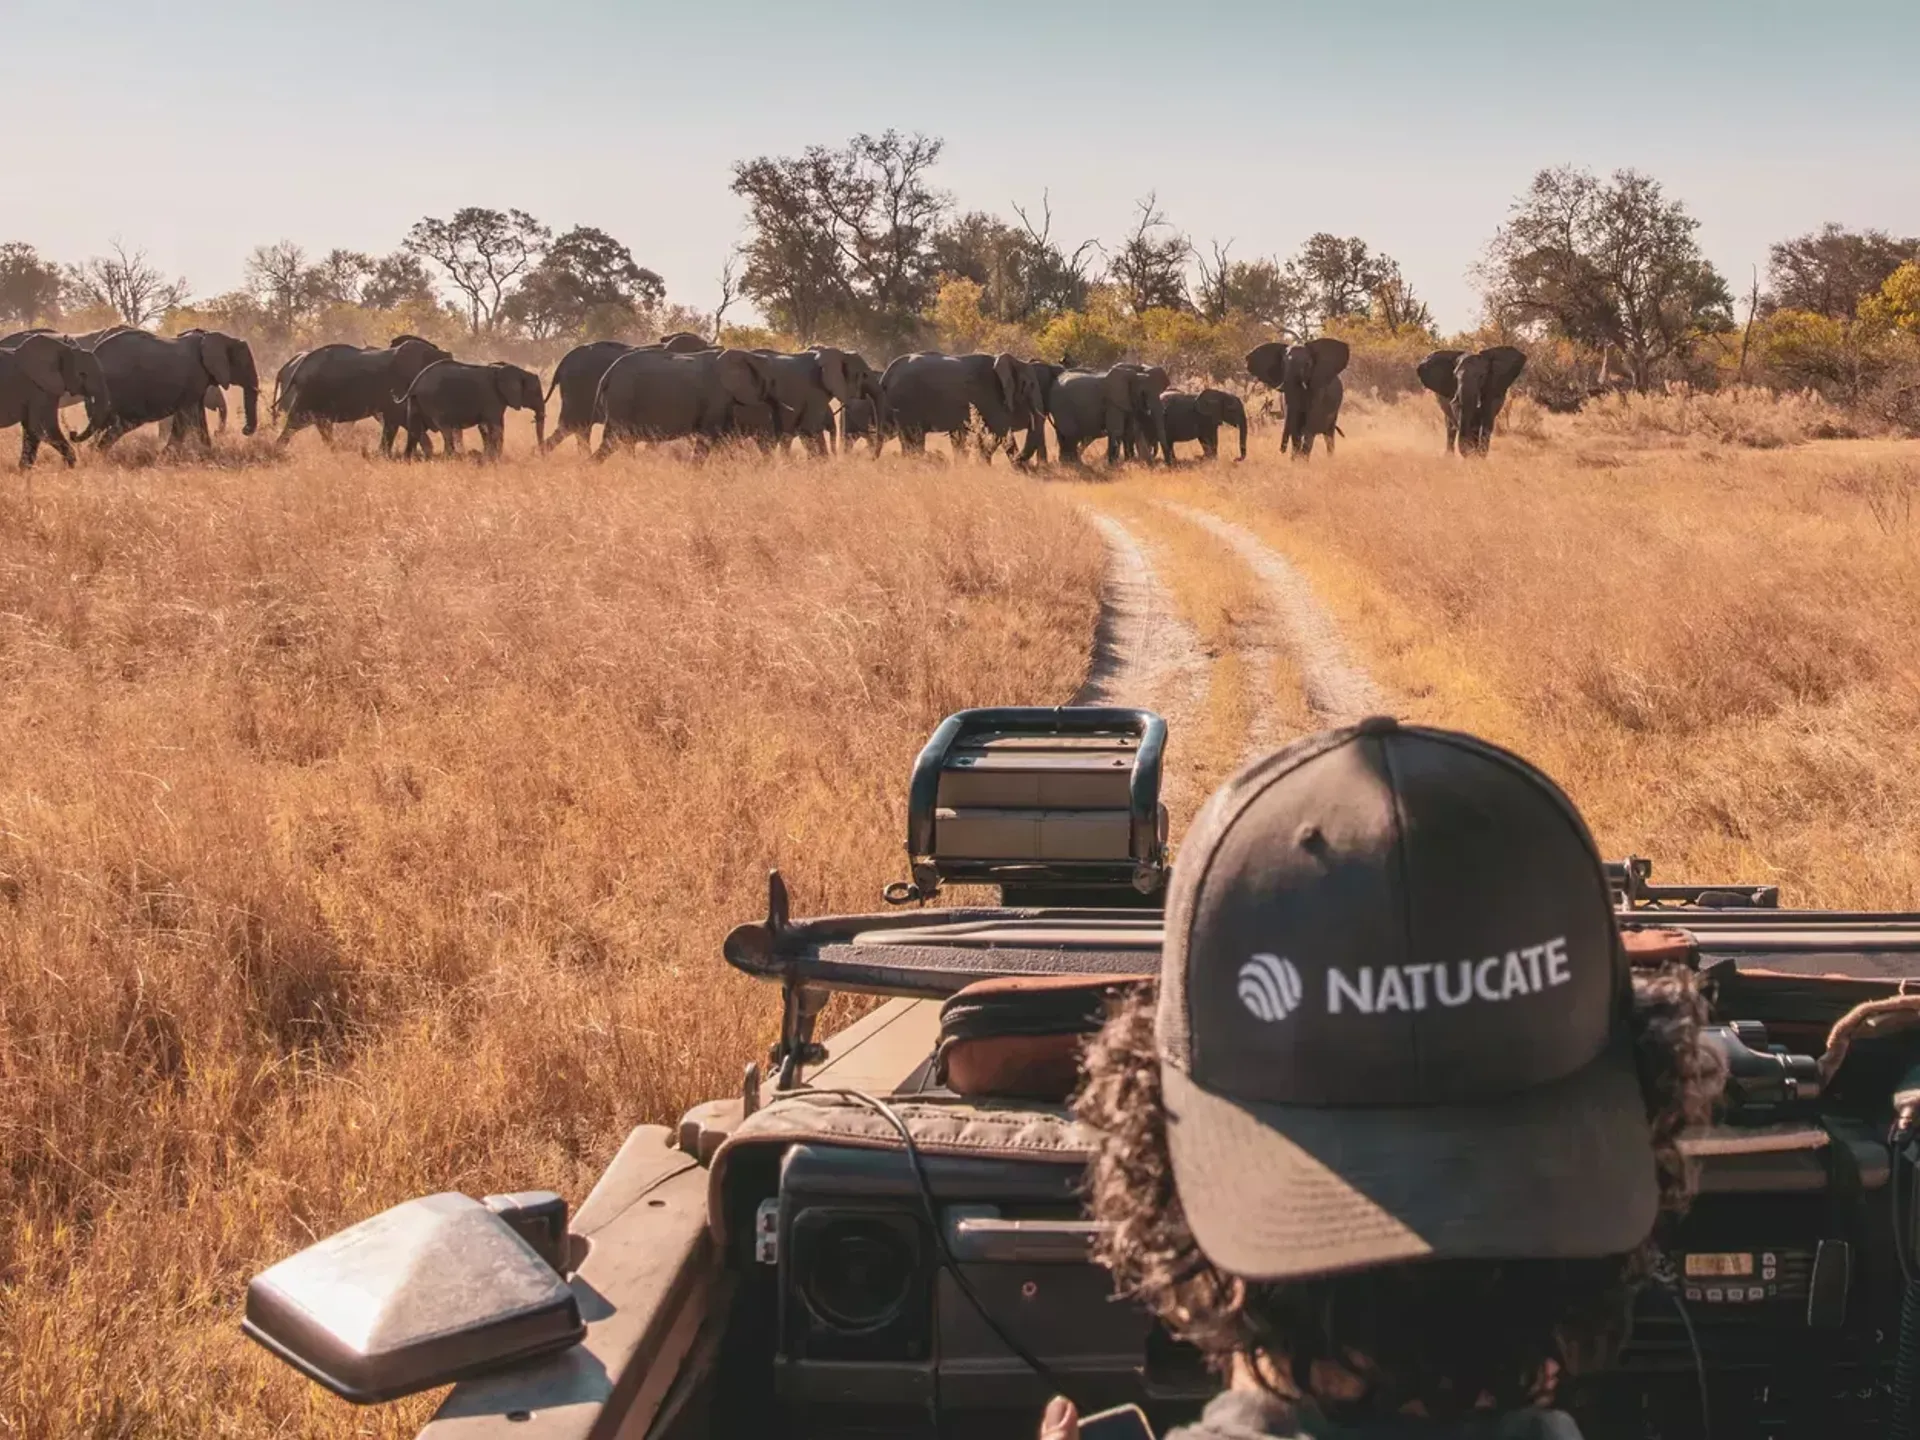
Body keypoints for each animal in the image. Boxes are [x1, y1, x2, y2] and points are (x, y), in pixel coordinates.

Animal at [72, 329, 260, 451]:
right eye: (245, 364)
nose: (245, 430)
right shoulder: (194, 376)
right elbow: (187, 416)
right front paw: (168, 455)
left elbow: (196, 415)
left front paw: (206, 453)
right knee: (118, 424)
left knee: (104, 425)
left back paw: (92, 453)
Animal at [396, 360, 545, 460]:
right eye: (536, 393)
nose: (538, 452)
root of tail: (415, 383)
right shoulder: (492, 397)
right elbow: (495, 427)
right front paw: (494, 459)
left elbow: (487, 427)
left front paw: (490, 457)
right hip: (433, 400)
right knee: (446, 430)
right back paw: (451, 457)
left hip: (415, 402)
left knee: (414, 429)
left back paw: (410, 459)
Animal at [592, 346, 780, 457]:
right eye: (770, 382)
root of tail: (606, 376)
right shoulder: (716, 397)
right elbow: (707, 439)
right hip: (622, 399)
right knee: (612, 440)